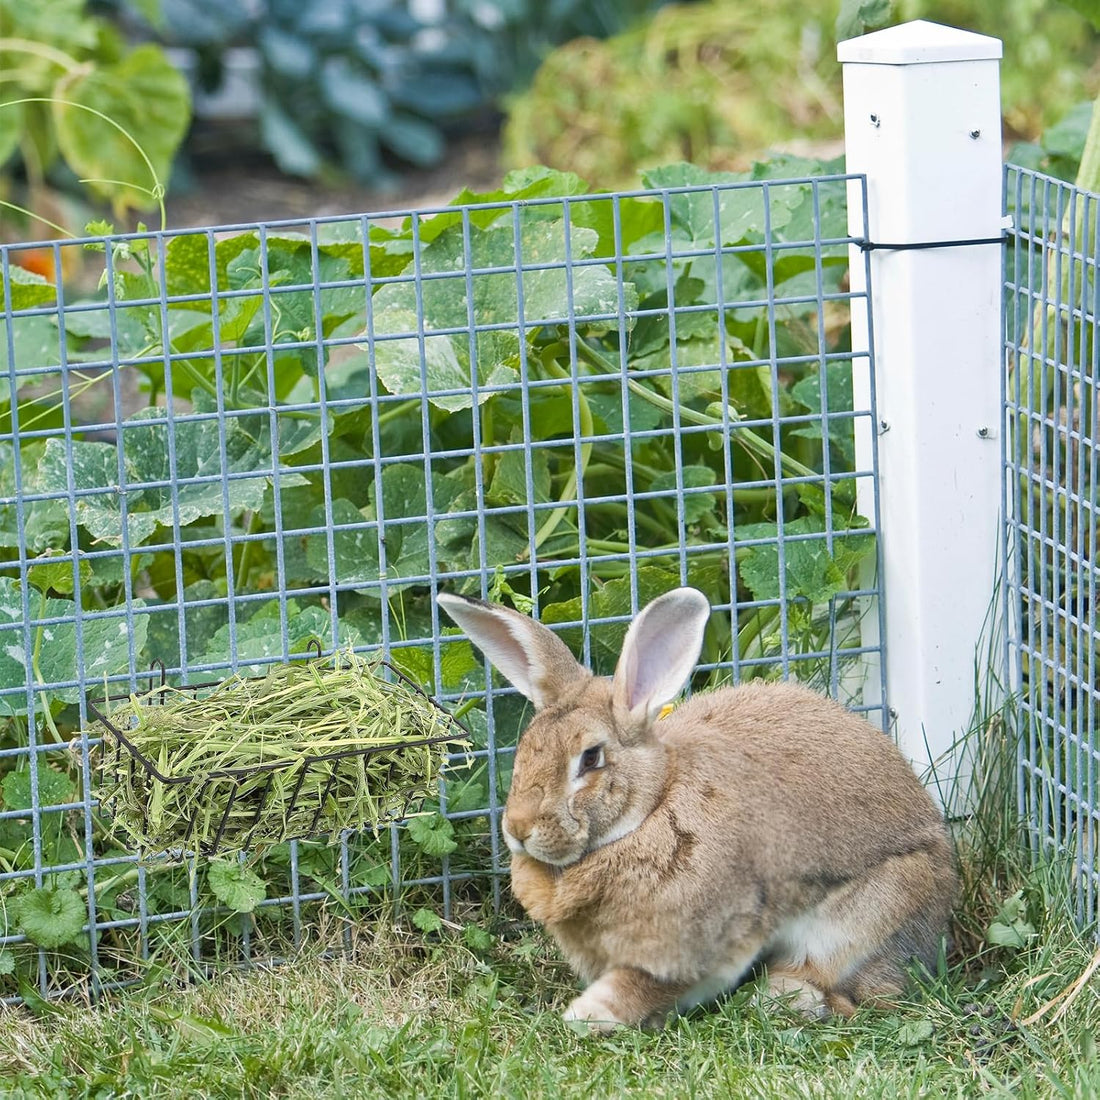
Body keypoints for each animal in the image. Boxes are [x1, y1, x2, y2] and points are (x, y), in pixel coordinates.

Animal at [436, 586, 957, 1031]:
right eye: (526, 747)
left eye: (590, 758)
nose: (519, 828)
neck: (650, 810)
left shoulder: (696, 943)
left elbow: (643, 986)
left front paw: (588, 1015)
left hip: (865, 916)